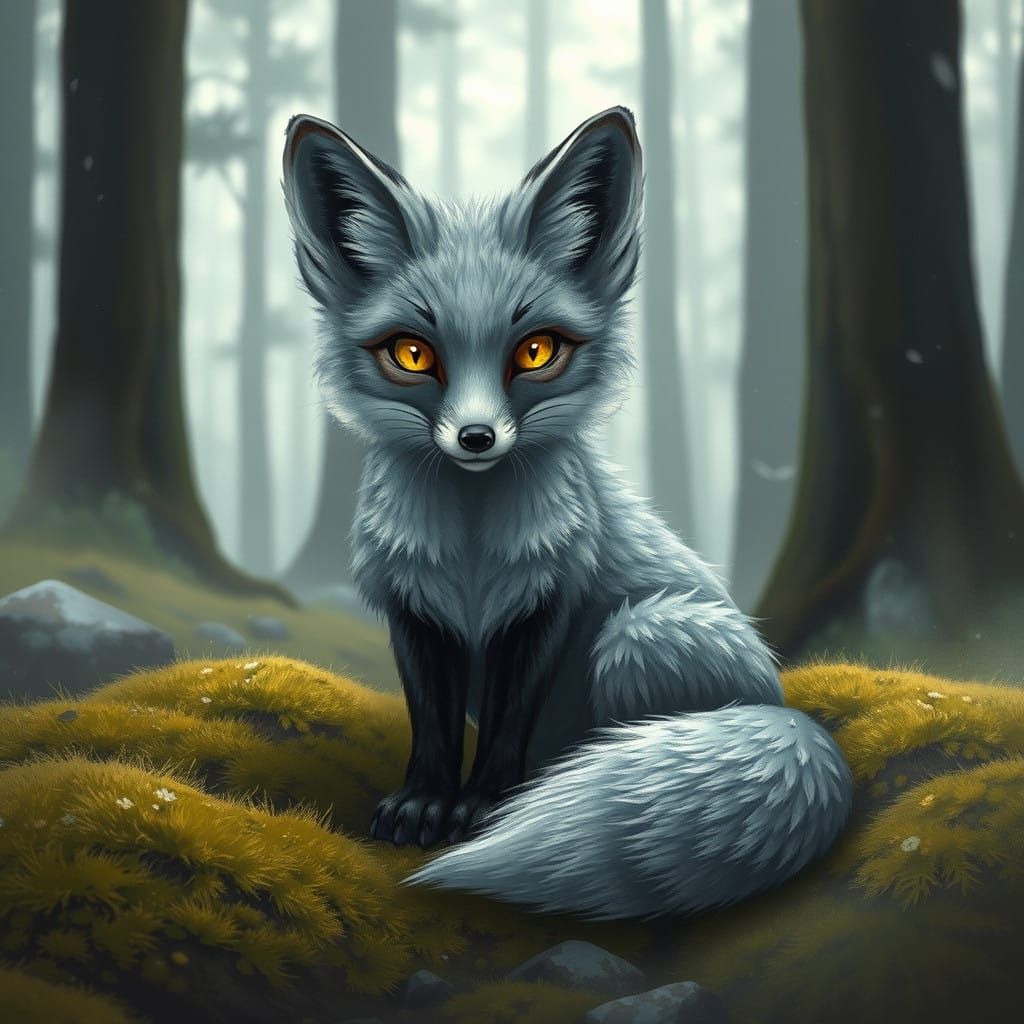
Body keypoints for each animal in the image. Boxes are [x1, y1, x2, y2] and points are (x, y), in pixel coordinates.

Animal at [281, 106, 853, 919]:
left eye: (536, 351)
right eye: (414, 355)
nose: (477, 437)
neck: (473, 552)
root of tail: (785, 708)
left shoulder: (546, 600)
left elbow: (506, 723)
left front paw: (485, 809)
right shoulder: (414, 609)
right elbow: (432, 723)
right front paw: (424, 802)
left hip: (639, 636)